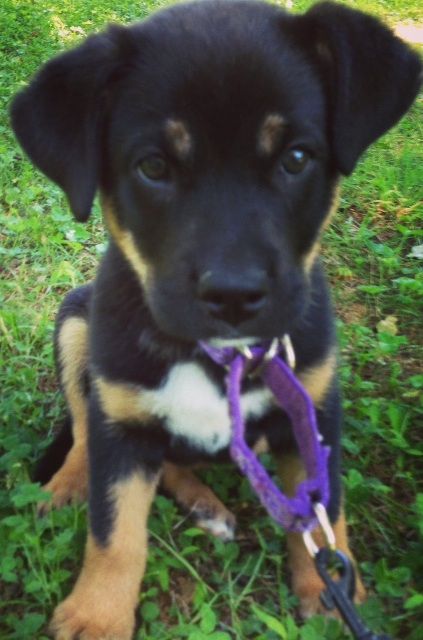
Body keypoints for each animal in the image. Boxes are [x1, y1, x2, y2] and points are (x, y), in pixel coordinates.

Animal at [11, 0, 422, 636]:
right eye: (153, 166)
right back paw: (73, 485)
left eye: (296, 158)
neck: (216, 356)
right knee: (84, 427)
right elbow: (114, 532)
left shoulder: (313, 408)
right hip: (77, 321)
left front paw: (331, 594)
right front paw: (96, 618)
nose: (233, 295)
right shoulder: (120, 423)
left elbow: (323, 513)